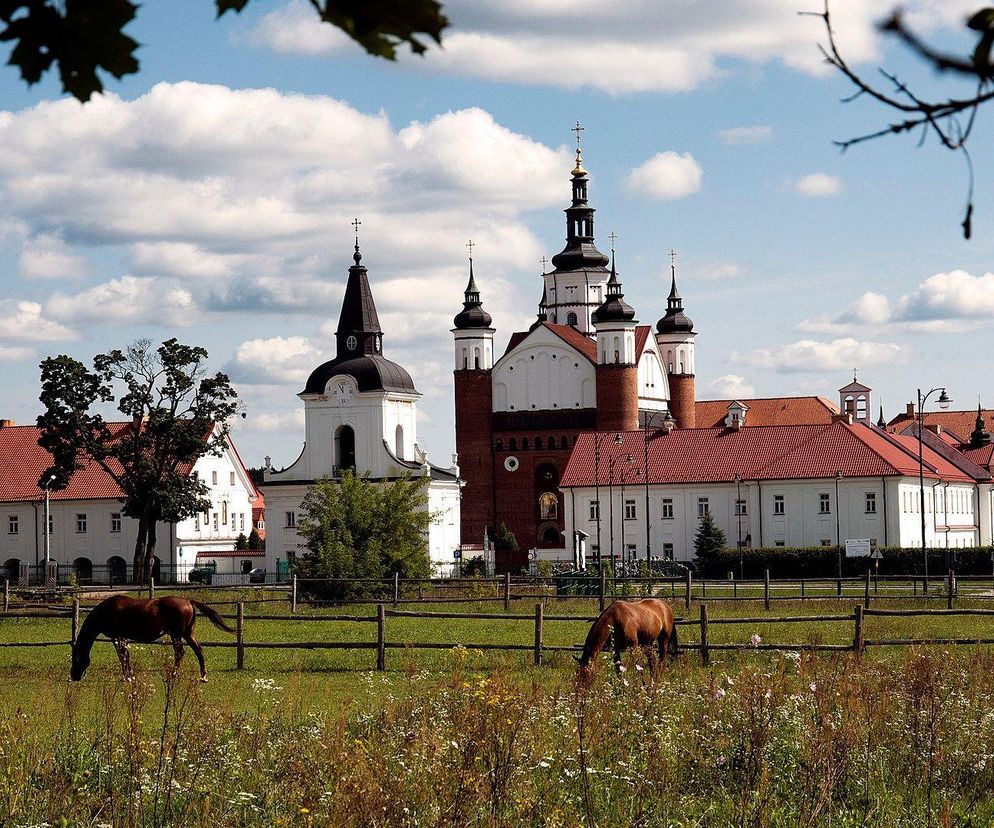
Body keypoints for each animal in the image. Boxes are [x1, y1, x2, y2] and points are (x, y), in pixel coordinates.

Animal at [70, 592, 234, 684]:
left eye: (75, 659)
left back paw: (173, 674)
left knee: (180, 653)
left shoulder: (118, 638)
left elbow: (122, 657)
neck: (105, 611)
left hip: (176, 635)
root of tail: (188, 601)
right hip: (188, 635)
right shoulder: (123, 639)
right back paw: (203, 677)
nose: (74, 676)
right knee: (199, 651)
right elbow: (126, 656)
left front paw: (126, 677)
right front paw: (130, 675)